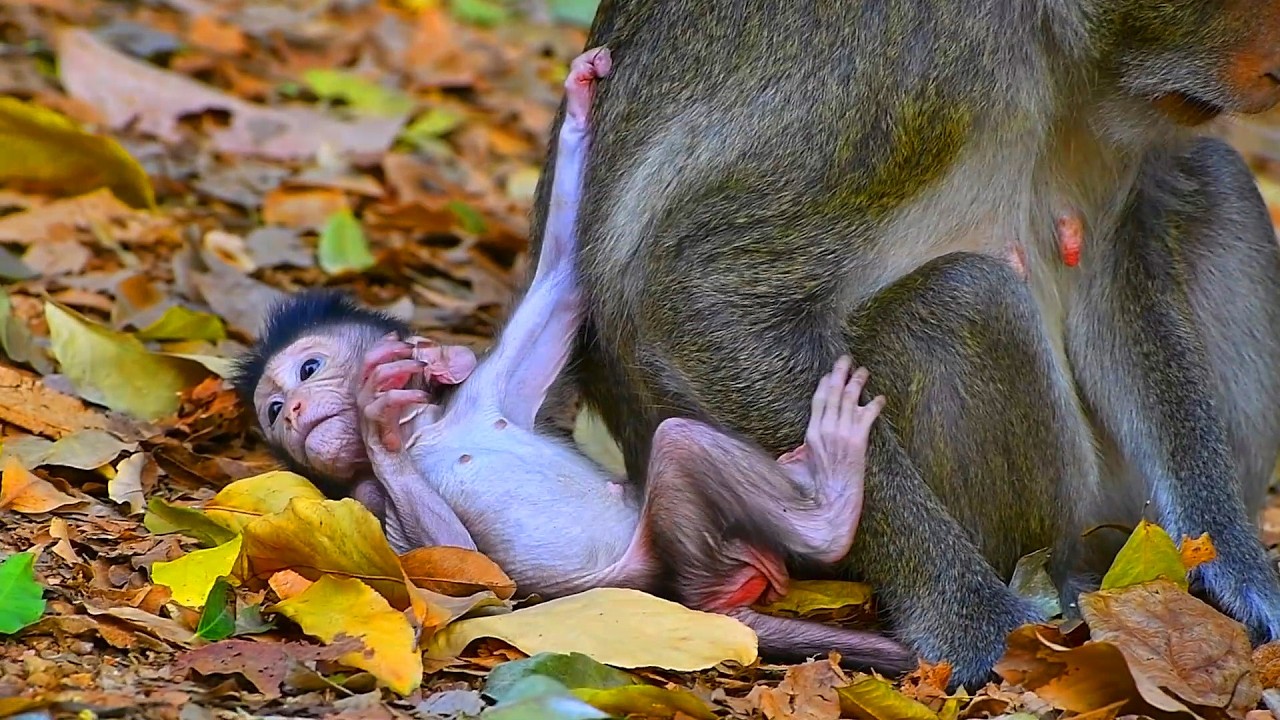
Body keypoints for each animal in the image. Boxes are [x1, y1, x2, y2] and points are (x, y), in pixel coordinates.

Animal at [232, 48, 914, 673]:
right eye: (273, 411)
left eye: (308, 371)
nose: (294, 410)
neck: (434, 431)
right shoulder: (367, 502)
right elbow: (473, 575)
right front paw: (380, 433)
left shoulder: (493, 390)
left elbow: (563, 278)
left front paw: (580, 104)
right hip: (649, 570)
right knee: (679, 448)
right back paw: (814, 524)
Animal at [526, 0, 1280, 688]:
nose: (1274, 68)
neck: (1043, 38)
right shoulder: (903, 76)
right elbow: (699, 292)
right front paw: (973, 618)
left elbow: (1110, 275)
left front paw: (1231, 560)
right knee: (960, 299)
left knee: (1215, 177)